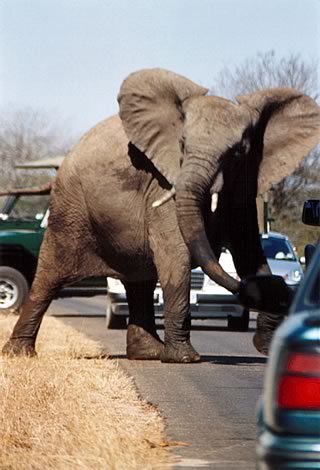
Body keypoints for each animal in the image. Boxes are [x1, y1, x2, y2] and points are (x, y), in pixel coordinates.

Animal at [3, 68, 320, 364]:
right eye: (182, 144)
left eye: (238, 153)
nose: (282, 287)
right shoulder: (163, 182)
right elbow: (176, 256)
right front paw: (185, 359)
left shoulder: (245, 182)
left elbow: (249, 252)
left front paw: (264, 344)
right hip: (70, 209)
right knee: (48, 276)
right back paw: (19, 354)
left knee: (139, 280)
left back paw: (147, 353)